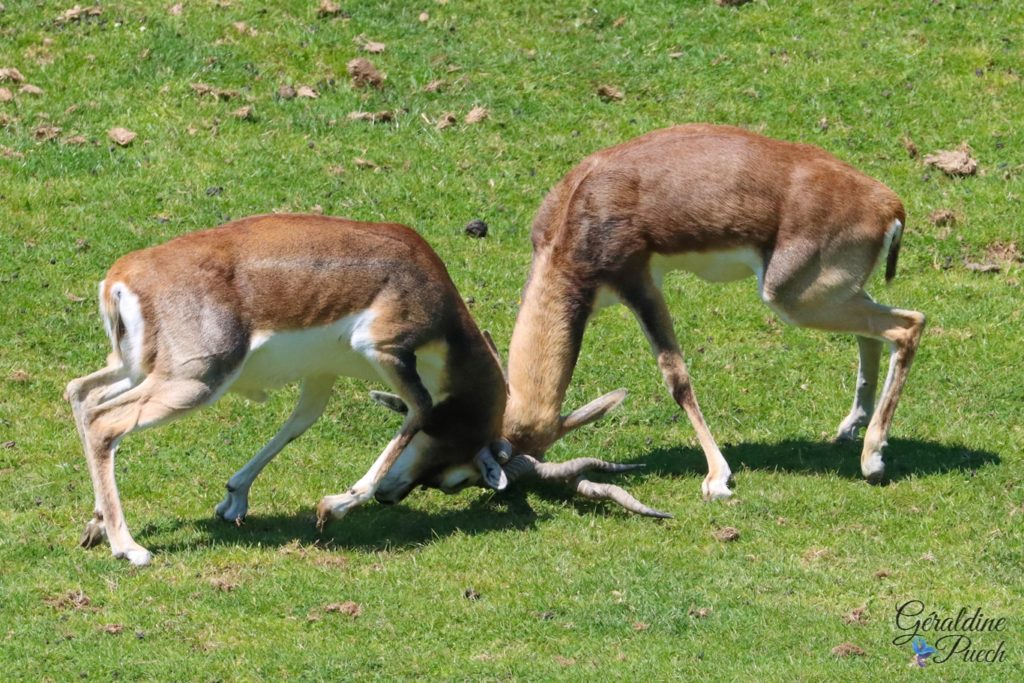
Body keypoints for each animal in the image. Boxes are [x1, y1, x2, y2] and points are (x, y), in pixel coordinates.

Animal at [66, 214, 663, 565]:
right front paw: (336, 505)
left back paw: (96, 526)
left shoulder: (323, 374)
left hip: (135, 369)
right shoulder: (388, 350)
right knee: (105, 423)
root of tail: (122, 277)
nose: (395, 496)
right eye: (461, 479)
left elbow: (299, 423)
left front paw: (235, 497)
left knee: (80, 393)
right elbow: (420, 410)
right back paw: (129, 547)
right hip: (194, 381)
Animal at [499, 122, 925, 499]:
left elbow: (676, 378)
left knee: (908, 325)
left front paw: (717, 479)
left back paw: (873, 460)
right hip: (834, 292)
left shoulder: (640, 283)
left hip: (792, 298)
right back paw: (851, 428)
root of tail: (889, 204)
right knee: (873, 333)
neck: (578, 209)